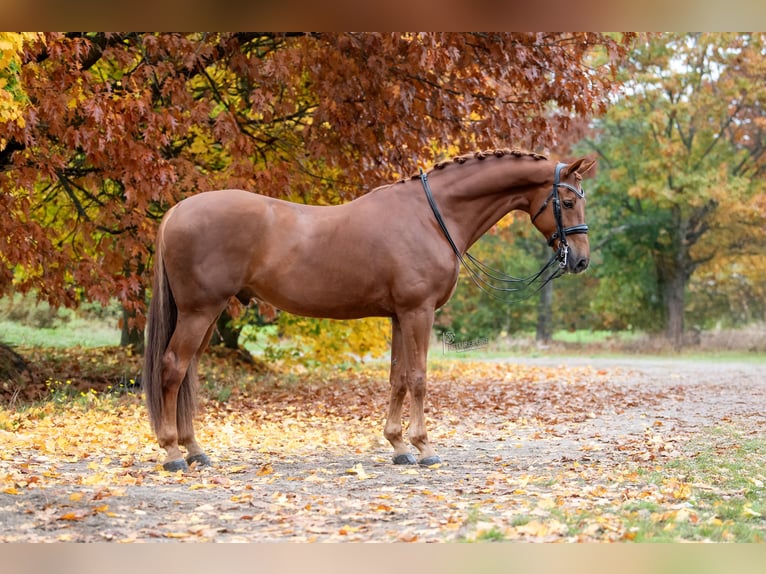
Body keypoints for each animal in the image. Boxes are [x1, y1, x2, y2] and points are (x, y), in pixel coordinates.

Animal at [143, 149, 595, 471]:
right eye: (567, 200)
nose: (580, 261)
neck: (431, 217)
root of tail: (178, 210)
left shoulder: (399, 315)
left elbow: (397, 379)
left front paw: (398, 446)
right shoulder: (418, 312)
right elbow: (418, 379)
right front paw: (424, 448)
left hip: (207, 314)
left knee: (187, 372)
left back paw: (195, 450)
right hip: (200, 310)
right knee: (173, 368)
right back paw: (173, 454)